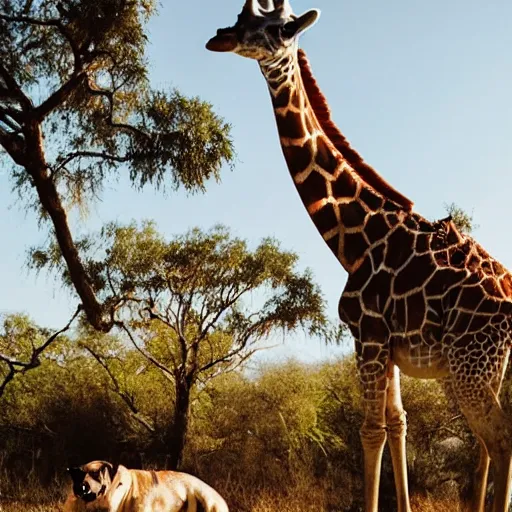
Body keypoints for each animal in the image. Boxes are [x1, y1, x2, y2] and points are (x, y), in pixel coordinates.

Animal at [206, 2, 512, 510]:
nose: (220, 38)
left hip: (471, 363)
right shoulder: (389, 348)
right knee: (487, 442)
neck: (353, 241)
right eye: (239, 17)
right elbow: (399, 425)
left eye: (278, 29)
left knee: (500, 438)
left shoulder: (365, 336)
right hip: (483, 366)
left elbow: (370, 432)